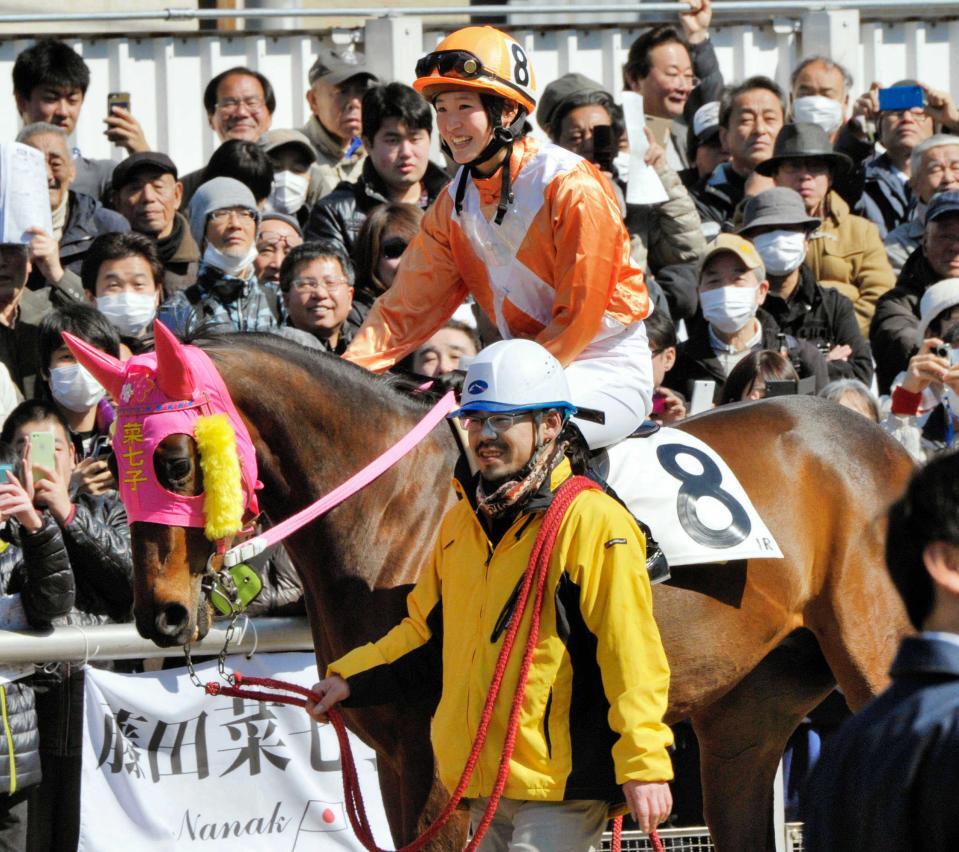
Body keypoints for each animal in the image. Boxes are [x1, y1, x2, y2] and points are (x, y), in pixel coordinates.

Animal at [84, 334, 916, 852]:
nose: (160, 614)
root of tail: (890, 447)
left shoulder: (436, 766)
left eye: (176, 461)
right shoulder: (396, 759)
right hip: (745, 712)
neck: (393, 505)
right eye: (108, 458)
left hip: (871, 664)